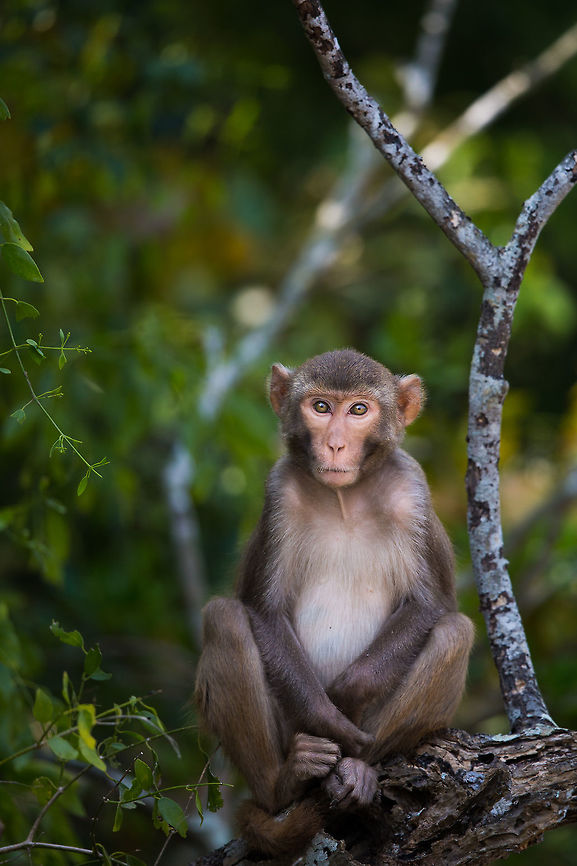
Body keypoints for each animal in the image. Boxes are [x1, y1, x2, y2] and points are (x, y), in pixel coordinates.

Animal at [195, 349, 474, 855]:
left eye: (358, 410)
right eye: (321, 407)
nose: (336, 445)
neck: (345, 497)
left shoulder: (412, 490)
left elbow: (431, 606)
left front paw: (346, 700)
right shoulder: (279, 491)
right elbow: (263, 611)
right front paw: (329, 718)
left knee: (454, 632)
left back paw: (360, 768)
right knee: (225, 618)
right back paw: (285, 783)